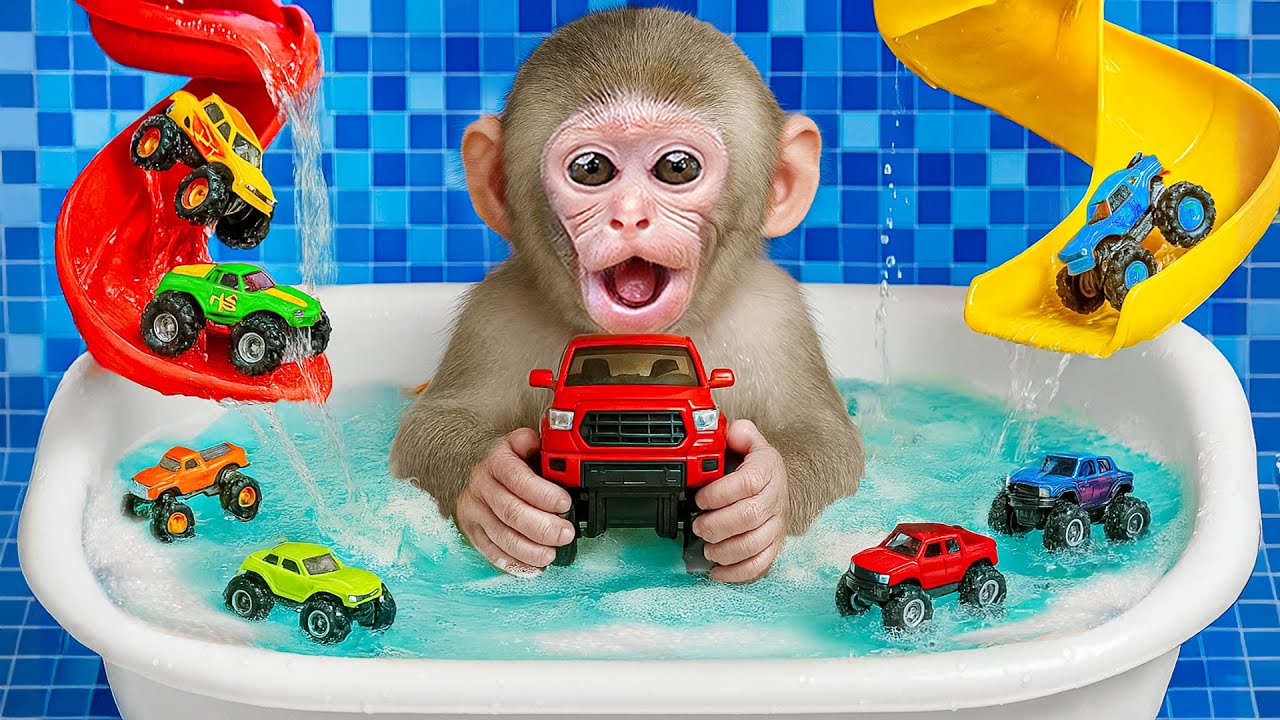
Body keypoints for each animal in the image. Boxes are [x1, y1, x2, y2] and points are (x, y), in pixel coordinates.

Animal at [390, 7, 863, 583]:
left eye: (677, 167)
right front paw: (497, 492)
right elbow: (430, 427)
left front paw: (759, 501)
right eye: (591, 169)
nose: (630, 216)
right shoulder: (491, 314)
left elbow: (825, 437)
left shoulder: (778, 316)